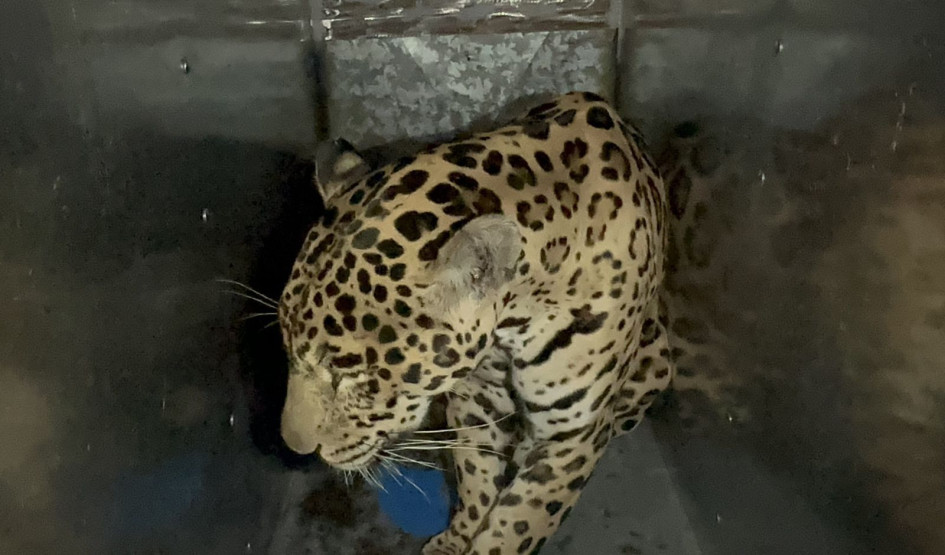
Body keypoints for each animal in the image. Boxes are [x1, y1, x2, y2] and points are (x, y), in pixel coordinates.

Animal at [277, 91, 674, 554]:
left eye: (351, 375)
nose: (295, 448)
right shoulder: (476, 398)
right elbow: (476, 482)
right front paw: (457, 539)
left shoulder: (571, 434)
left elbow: (518, 523)